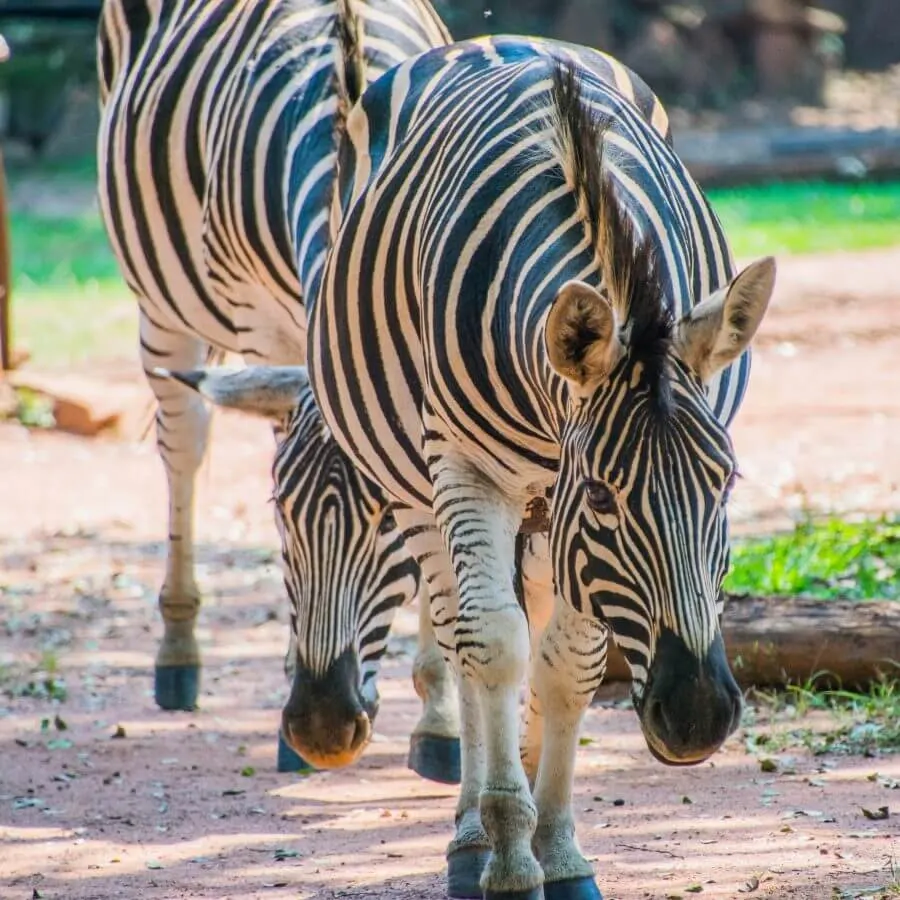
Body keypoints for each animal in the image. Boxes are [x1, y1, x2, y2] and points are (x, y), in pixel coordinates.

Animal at [96, 0, 456, 775]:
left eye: (389, 524)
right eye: (279, 511)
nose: (321, 728)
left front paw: (441, 720)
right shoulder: (267, 324)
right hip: (161, 306)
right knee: (183, 447)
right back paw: (178, 654)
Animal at [301, 36, 776, 898]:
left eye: (725, 483)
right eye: (604, 496)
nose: (698, 719)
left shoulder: (564, 511)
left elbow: (568, 670)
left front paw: (557, 848)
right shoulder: (475, 474)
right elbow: (491, 644)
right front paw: (510, 857)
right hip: (418, 491)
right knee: (461, 632)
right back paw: (472, 832)